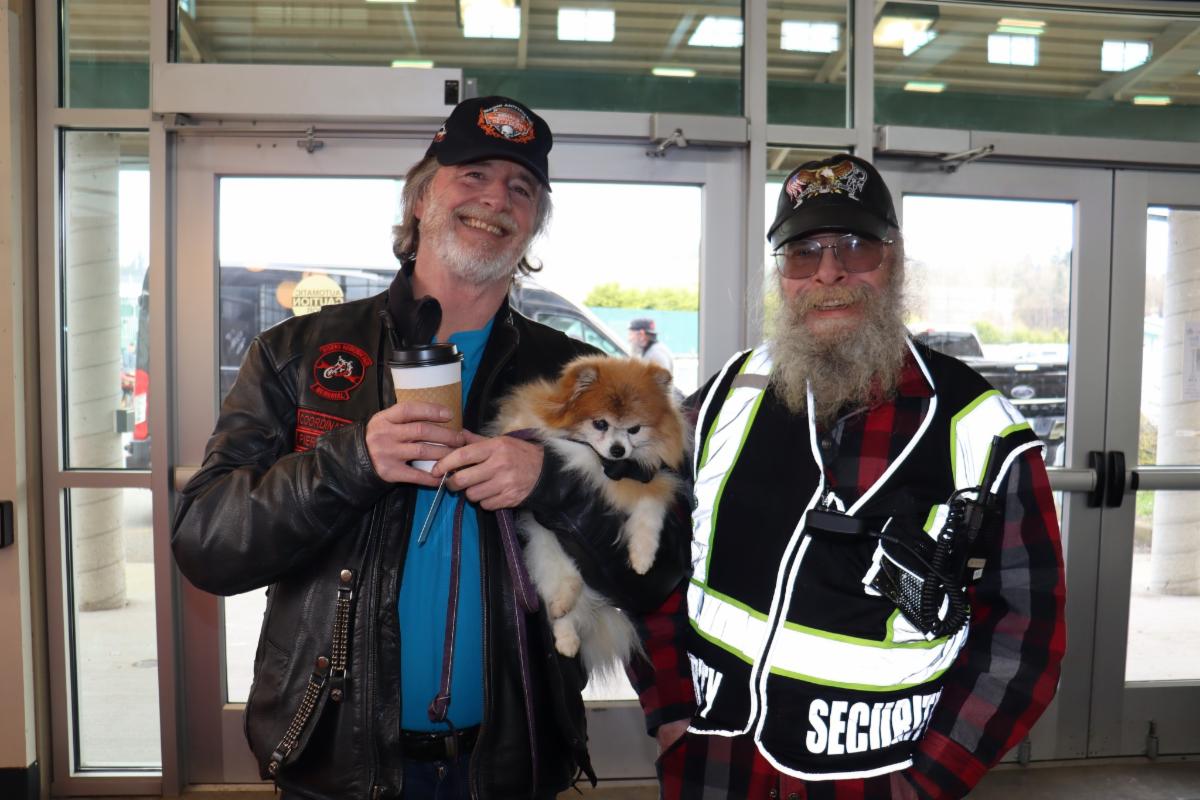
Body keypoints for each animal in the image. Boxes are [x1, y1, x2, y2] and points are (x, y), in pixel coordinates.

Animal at [490, 355, 687, 676]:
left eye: (634, 429)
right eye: (600, 424)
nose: (618, 450)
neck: (600, 461)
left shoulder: (650, 480)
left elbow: (649, 512)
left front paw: (642, 557)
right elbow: (523, 425)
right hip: (546, 553)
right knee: (562, 592)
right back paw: (564, 625)